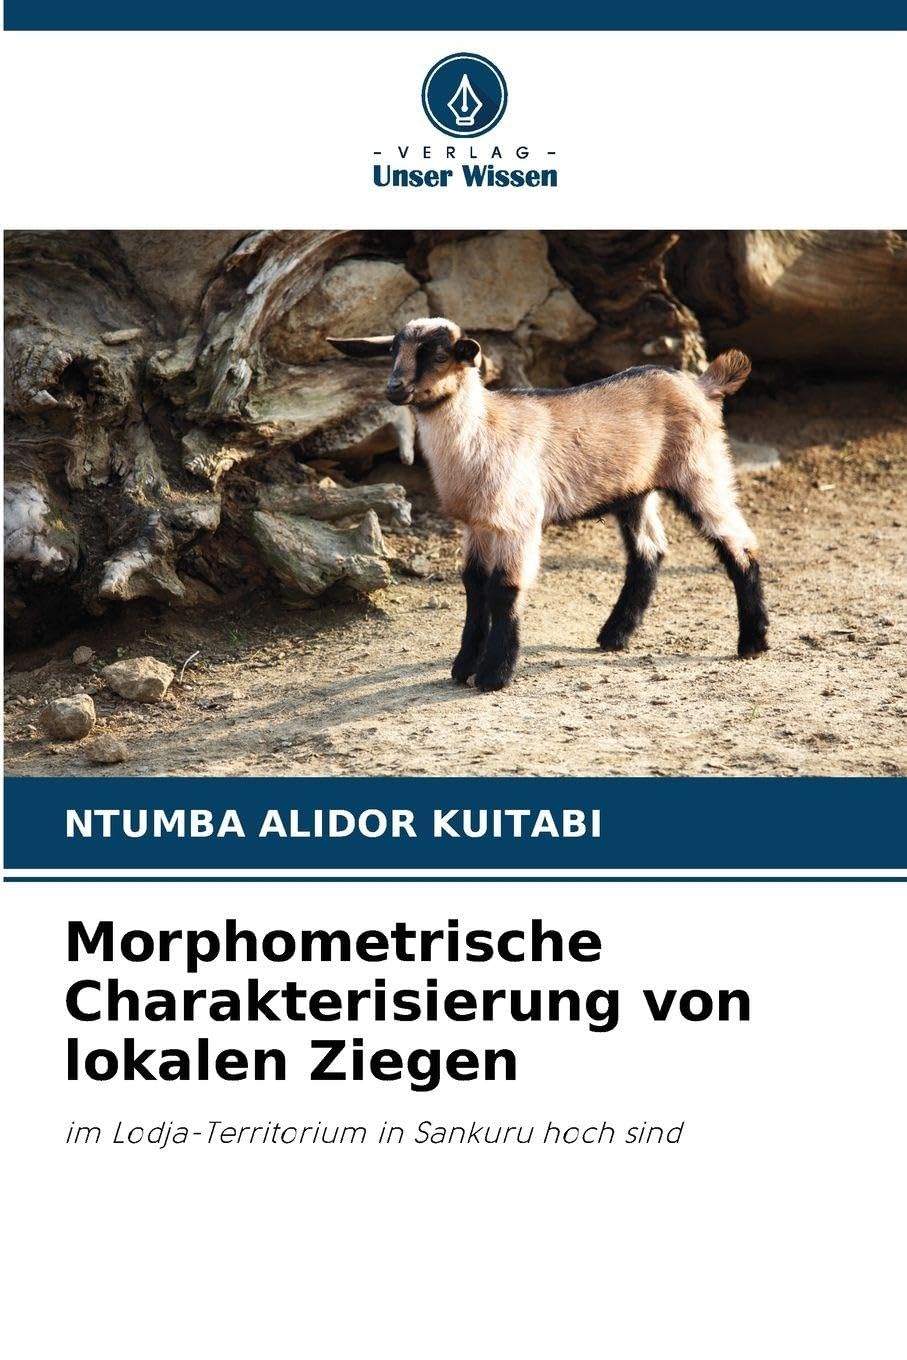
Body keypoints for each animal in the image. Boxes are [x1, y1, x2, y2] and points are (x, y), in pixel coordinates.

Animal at [329, 317, 769, 691]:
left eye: (438, 355)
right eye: (392, 351)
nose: (394, 389)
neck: (482, 431)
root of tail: (702, 385)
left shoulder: (518, 521)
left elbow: (503, 589)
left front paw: (493, 675)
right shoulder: (477, 524)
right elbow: (474, 587)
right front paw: (463, 666)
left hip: (700, 469)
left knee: (739, 542)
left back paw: (753, 641)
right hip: (634, 492)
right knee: (649, 552)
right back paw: (614, 635)